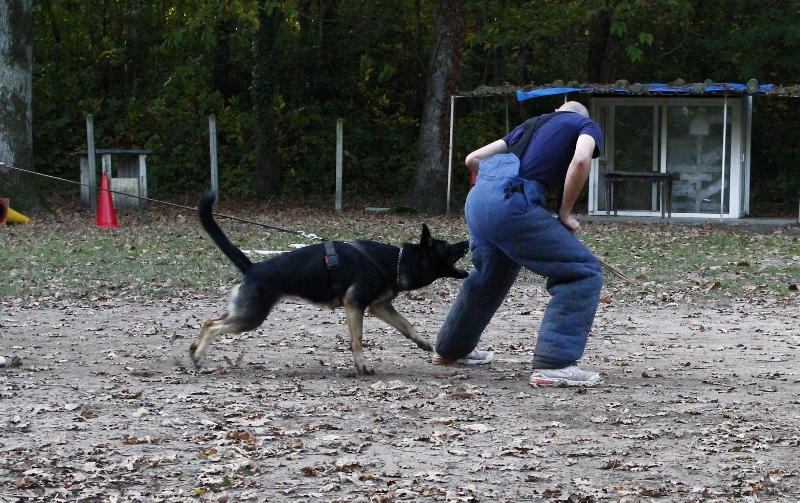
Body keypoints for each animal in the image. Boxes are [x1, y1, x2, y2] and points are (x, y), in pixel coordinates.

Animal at [191, 193, 472, 374]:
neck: (397, 261)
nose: (468, 242)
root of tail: (253, 267)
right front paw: (361, 365)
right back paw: (198, 356)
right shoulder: (354, 305)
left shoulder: (378, 307)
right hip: (251, 317)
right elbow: (357, 339)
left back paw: (194, 349)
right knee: (213, 326)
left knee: (209, 321)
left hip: (244, 312)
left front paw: (421, 341)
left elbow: (405, 324)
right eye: (447, 247)